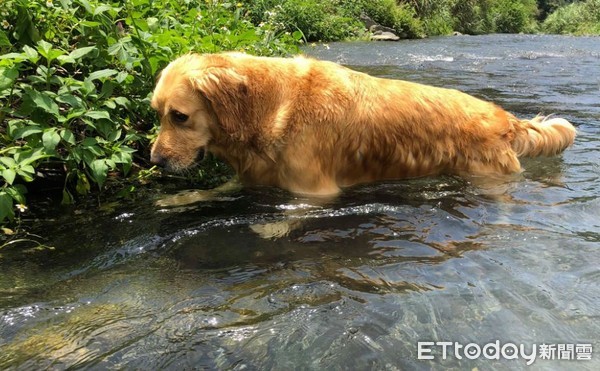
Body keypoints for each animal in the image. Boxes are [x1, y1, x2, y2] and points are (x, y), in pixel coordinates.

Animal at [150, 53, 576, 198]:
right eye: (156, 112)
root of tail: (505, 116)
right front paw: (176, 200)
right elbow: (214, 190)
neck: (270, 105)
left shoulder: (314, 191)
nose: (154, 162)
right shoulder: (253, 175)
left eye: (179, 116)